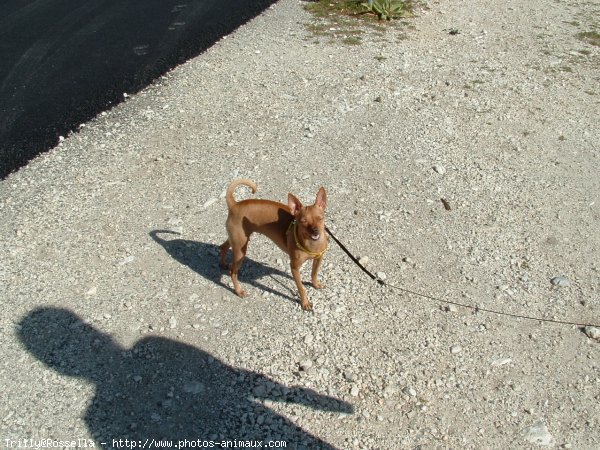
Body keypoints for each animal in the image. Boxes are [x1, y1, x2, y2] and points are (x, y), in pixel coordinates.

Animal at [219, 179, 326, 310]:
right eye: (303, 221)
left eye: (320, 218)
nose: (315, 231)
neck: (312, 244)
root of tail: (234, 205)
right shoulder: (294, 267)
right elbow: (301, 288)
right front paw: (305, 302)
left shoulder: (318, 259)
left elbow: (314, 273)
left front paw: (315, 284)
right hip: (240, 250)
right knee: (233, 272)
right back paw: (239, 291)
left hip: (237, 241)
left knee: (222, 247)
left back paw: (223, 263)